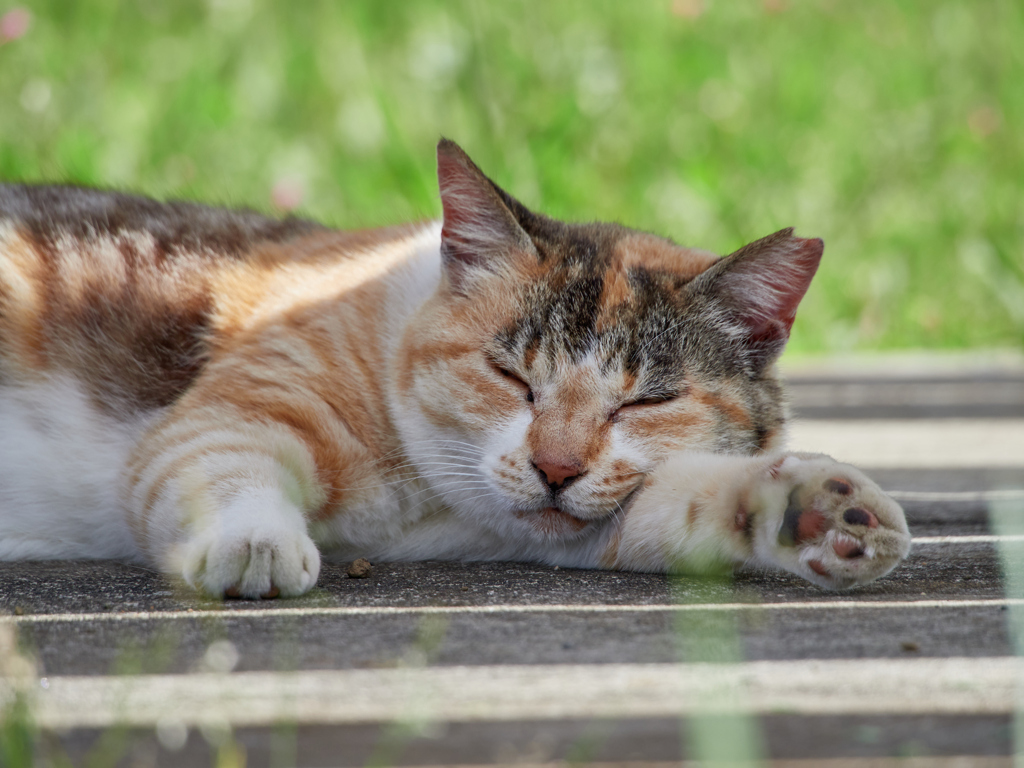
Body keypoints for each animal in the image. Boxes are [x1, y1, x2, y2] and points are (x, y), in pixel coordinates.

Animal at [0, 143, 913, 602]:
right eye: (511, 376)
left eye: (646, 401)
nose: (555, 467)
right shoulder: (229, 411)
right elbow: (217, 467)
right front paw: (253, 543)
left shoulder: (555, 528)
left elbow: (678, 505)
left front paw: (815, 514)